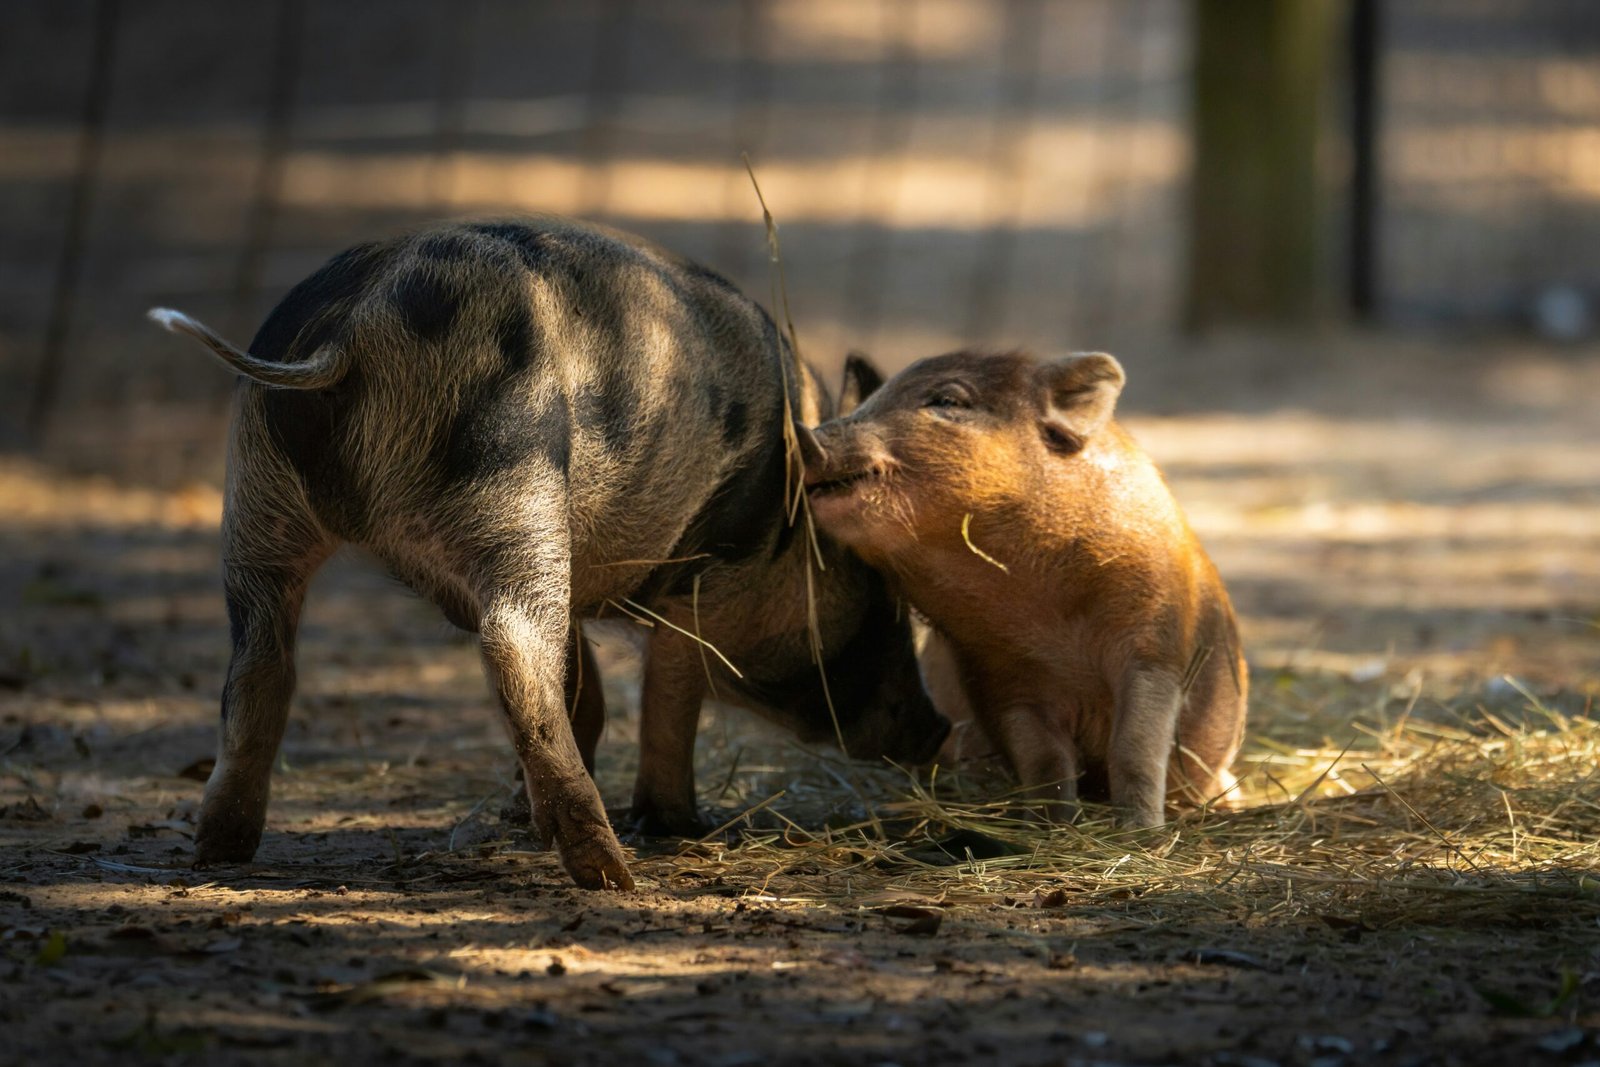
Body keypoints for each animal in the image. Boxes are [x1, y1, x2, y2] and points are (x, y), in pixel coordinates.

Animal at [147, 217, 948, 891]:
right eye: (877, 586)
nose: (937, 728)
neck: (775, 517)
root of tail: (358, 325)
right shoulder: (699, 578)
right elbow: (666, 693)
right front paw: (680, 825)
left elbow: (585, 682)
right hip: (516, 477)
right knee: (514, 649)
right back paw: (612, 873)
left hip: (258, 497)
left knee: (261, 662)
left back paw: (219, 850)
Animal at [801, 350, 1246, 826]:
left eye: (947, 400)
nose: (806, 437)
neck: (1055, 623)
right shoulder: (997, 677)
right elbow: (1045, 762)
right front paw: (1055, 824)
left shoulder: (1157, 645)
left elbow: (1136, 748)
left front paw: (1140, 831)